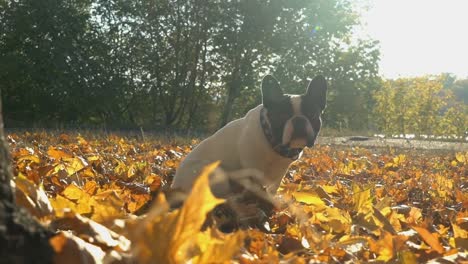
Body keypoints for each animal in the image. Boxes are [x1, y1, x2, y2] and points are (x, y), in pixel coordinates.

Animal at [170, 74, 328, 198]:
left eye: (313, 115)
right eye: (281, 116)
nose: (299, 120)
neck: (273, 142)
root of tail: (174, 185)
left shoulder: (281, 170)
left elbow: (274, 187)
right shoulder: (253, 167)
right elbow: (256, 186)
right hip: (215, 175)